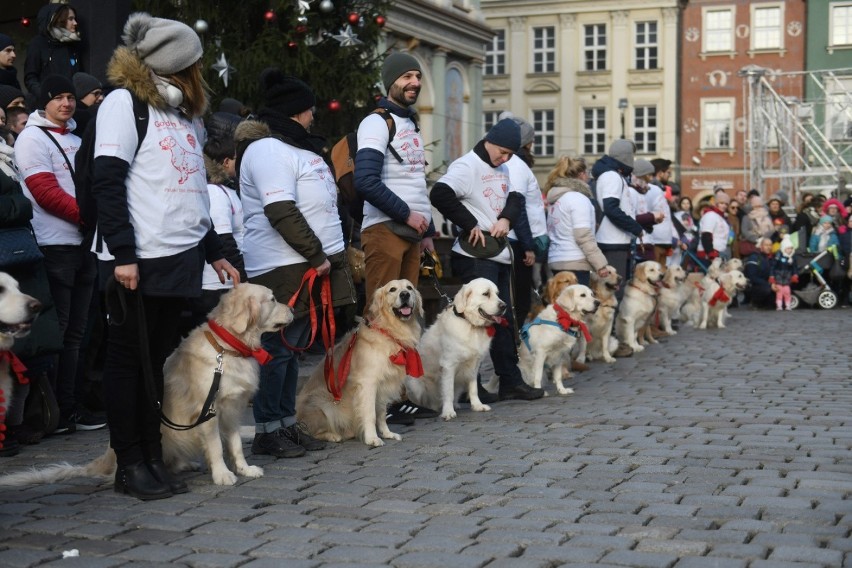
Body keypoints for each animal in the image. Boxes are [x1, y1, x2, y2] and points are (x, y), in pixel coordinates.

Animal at [0, 284, 292, 488]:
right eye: (272, 299)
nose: (292, 309)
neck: (227, 347)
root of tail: (107, 458)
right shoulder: (208, 410)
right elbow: (217, 447)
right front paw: (223, 474)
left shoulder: (232, 408)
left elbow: (235, 444)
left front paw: (245, 469)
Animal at [296, 280, 422, 448]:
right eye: (392, 289)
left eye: (409, 288)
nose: (405, 295)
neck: (390, 331)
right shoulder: (368, 383)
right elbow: (370, 414)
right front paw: (372, 438)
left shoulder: (383, 385)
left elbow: (381, 414)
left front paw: (387, 433)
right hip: (323, 405)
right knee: (310, 431)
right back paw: (332, 435)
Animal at [406, 278, 506, 420]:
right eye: (486, 294)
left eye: (497, 294)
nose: (504, 306)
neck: (470, 324)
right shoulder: (448, 365)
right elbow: (448, 391)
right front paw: (448, 412)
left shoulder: (474, 365)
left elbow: (474, 388)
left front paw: (477, 405)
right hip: (415, 385)